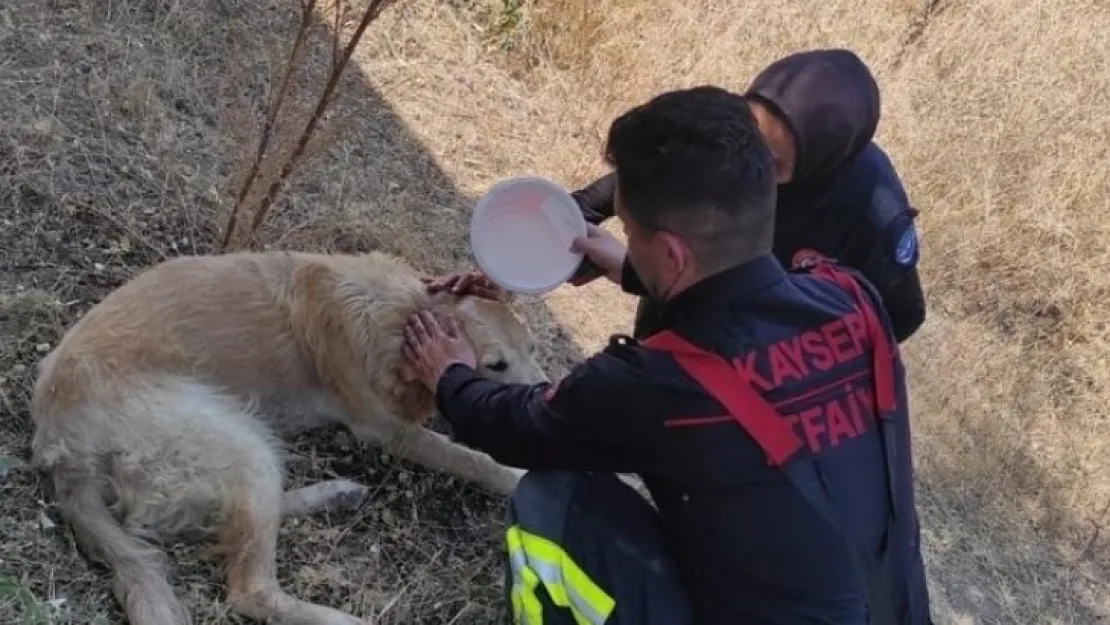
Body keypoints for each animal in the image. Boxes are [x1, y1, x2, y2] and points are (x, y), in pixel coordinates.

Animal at [26, 249, 546, 625]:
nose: (543, 394)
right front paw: (516, 474)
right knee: (250, 591)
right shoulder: (386, 429)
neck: (393, 313)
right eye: (496, 363)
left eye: (531, 349)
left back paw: (335, 494)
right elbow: (472, 459)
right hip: (238, 441)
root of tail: (57, 445)